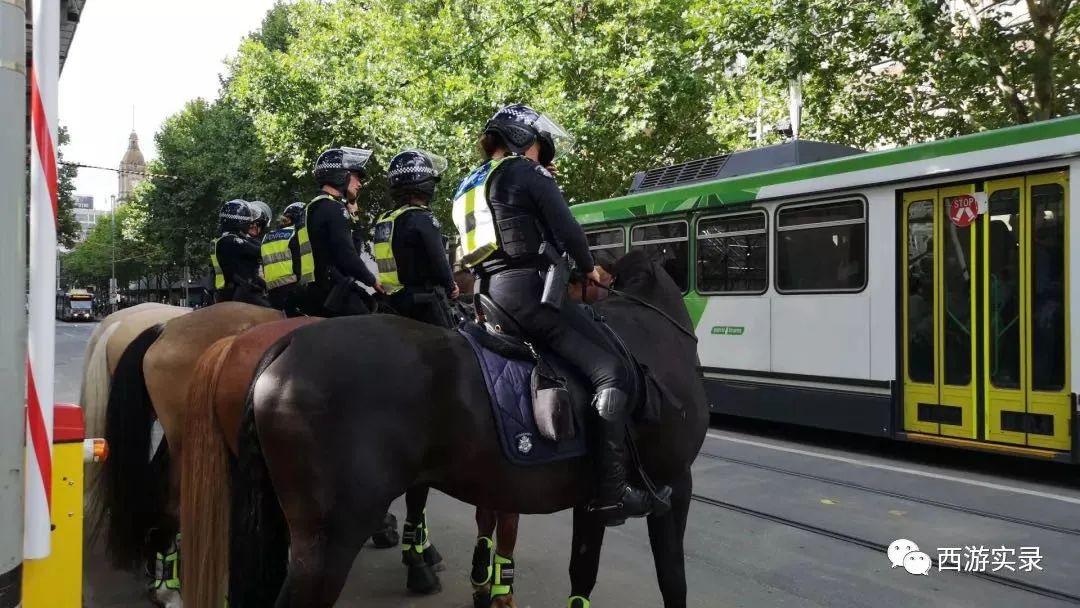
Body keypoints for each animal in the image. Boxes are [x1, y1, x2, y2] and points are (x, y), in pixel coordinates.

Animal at [185, 250, 708, 608]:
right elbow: (673, 577)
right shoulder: (675, 484)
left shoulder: (591, 499)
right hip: (329, 537)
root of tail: (282, 346)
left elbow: (582, 569)